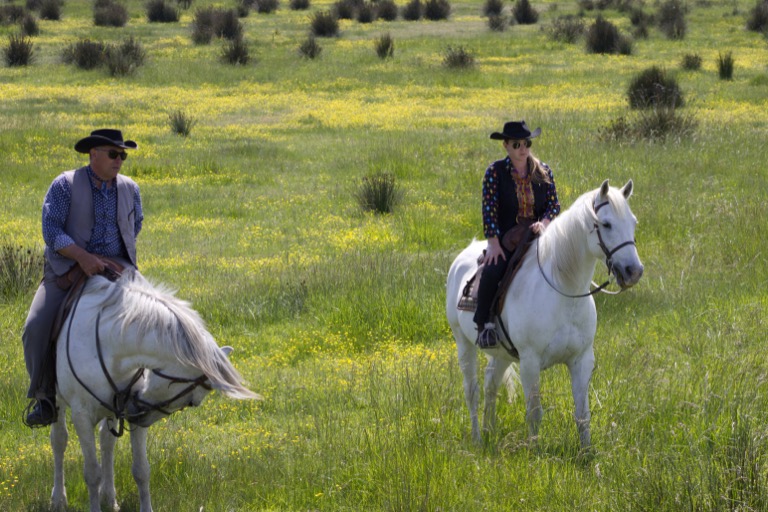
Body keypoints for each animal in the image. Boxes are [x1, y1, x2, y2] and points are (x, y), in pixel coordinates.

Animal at [51, 270, 260, 510]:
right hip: (59, 403)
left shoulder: (130, 408)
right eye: (193, 402)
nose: (134, 413)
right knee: (59, 440)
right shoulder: (82, 416)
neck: (109, 345)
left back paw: (109, 498)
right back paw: (58, 499)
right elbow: (92, 473)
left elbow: (141, 470)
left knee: (106, 441)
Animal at [448, 179, 644, 448]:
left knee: (491, 384)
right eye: (606, 224)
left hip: (502, 353)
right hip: (463, 343)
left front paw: (587, 452)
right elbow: (534, 412)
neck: (564, 292)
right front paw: (534, 450)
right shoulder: (530, 361)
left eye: (633, 222)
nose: (634, 271)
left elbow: (582, 414)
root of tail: (460, 259)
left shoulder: (582, 360)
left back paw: (489, 432)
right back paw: (478, 438)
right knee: (472, 390)